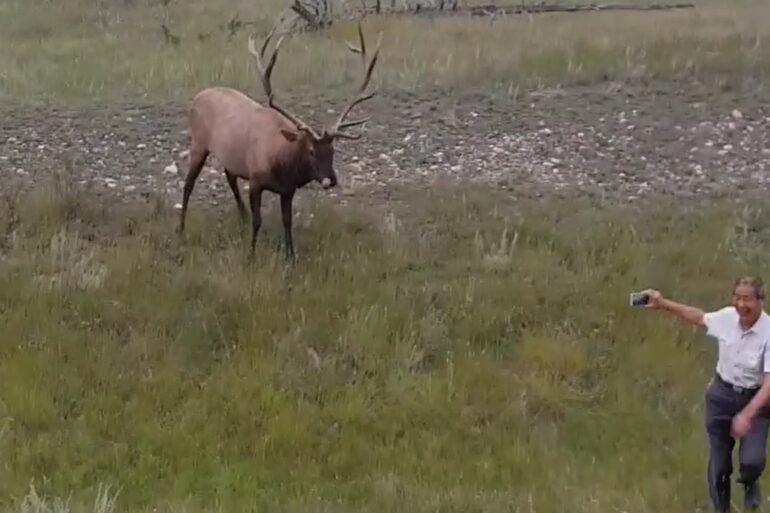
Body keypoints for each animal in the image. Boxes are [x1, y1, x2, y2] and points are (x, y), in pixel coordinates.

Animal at [178, 21, 382, 260]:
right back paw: (181, 229)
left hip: (229, 156)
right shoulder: (256, 181)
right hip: (198, 144)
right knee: (188, 185)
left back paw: (241, 217)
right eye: (311, 150)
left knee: (229, 176)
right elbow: (258, 221)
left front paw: (291, 257)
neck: (283, 164)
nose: (330, 180)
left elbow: (287, 222)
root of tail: (198, 96)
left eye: (333, 151)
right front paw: (251, 255)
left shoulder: (287, 190)